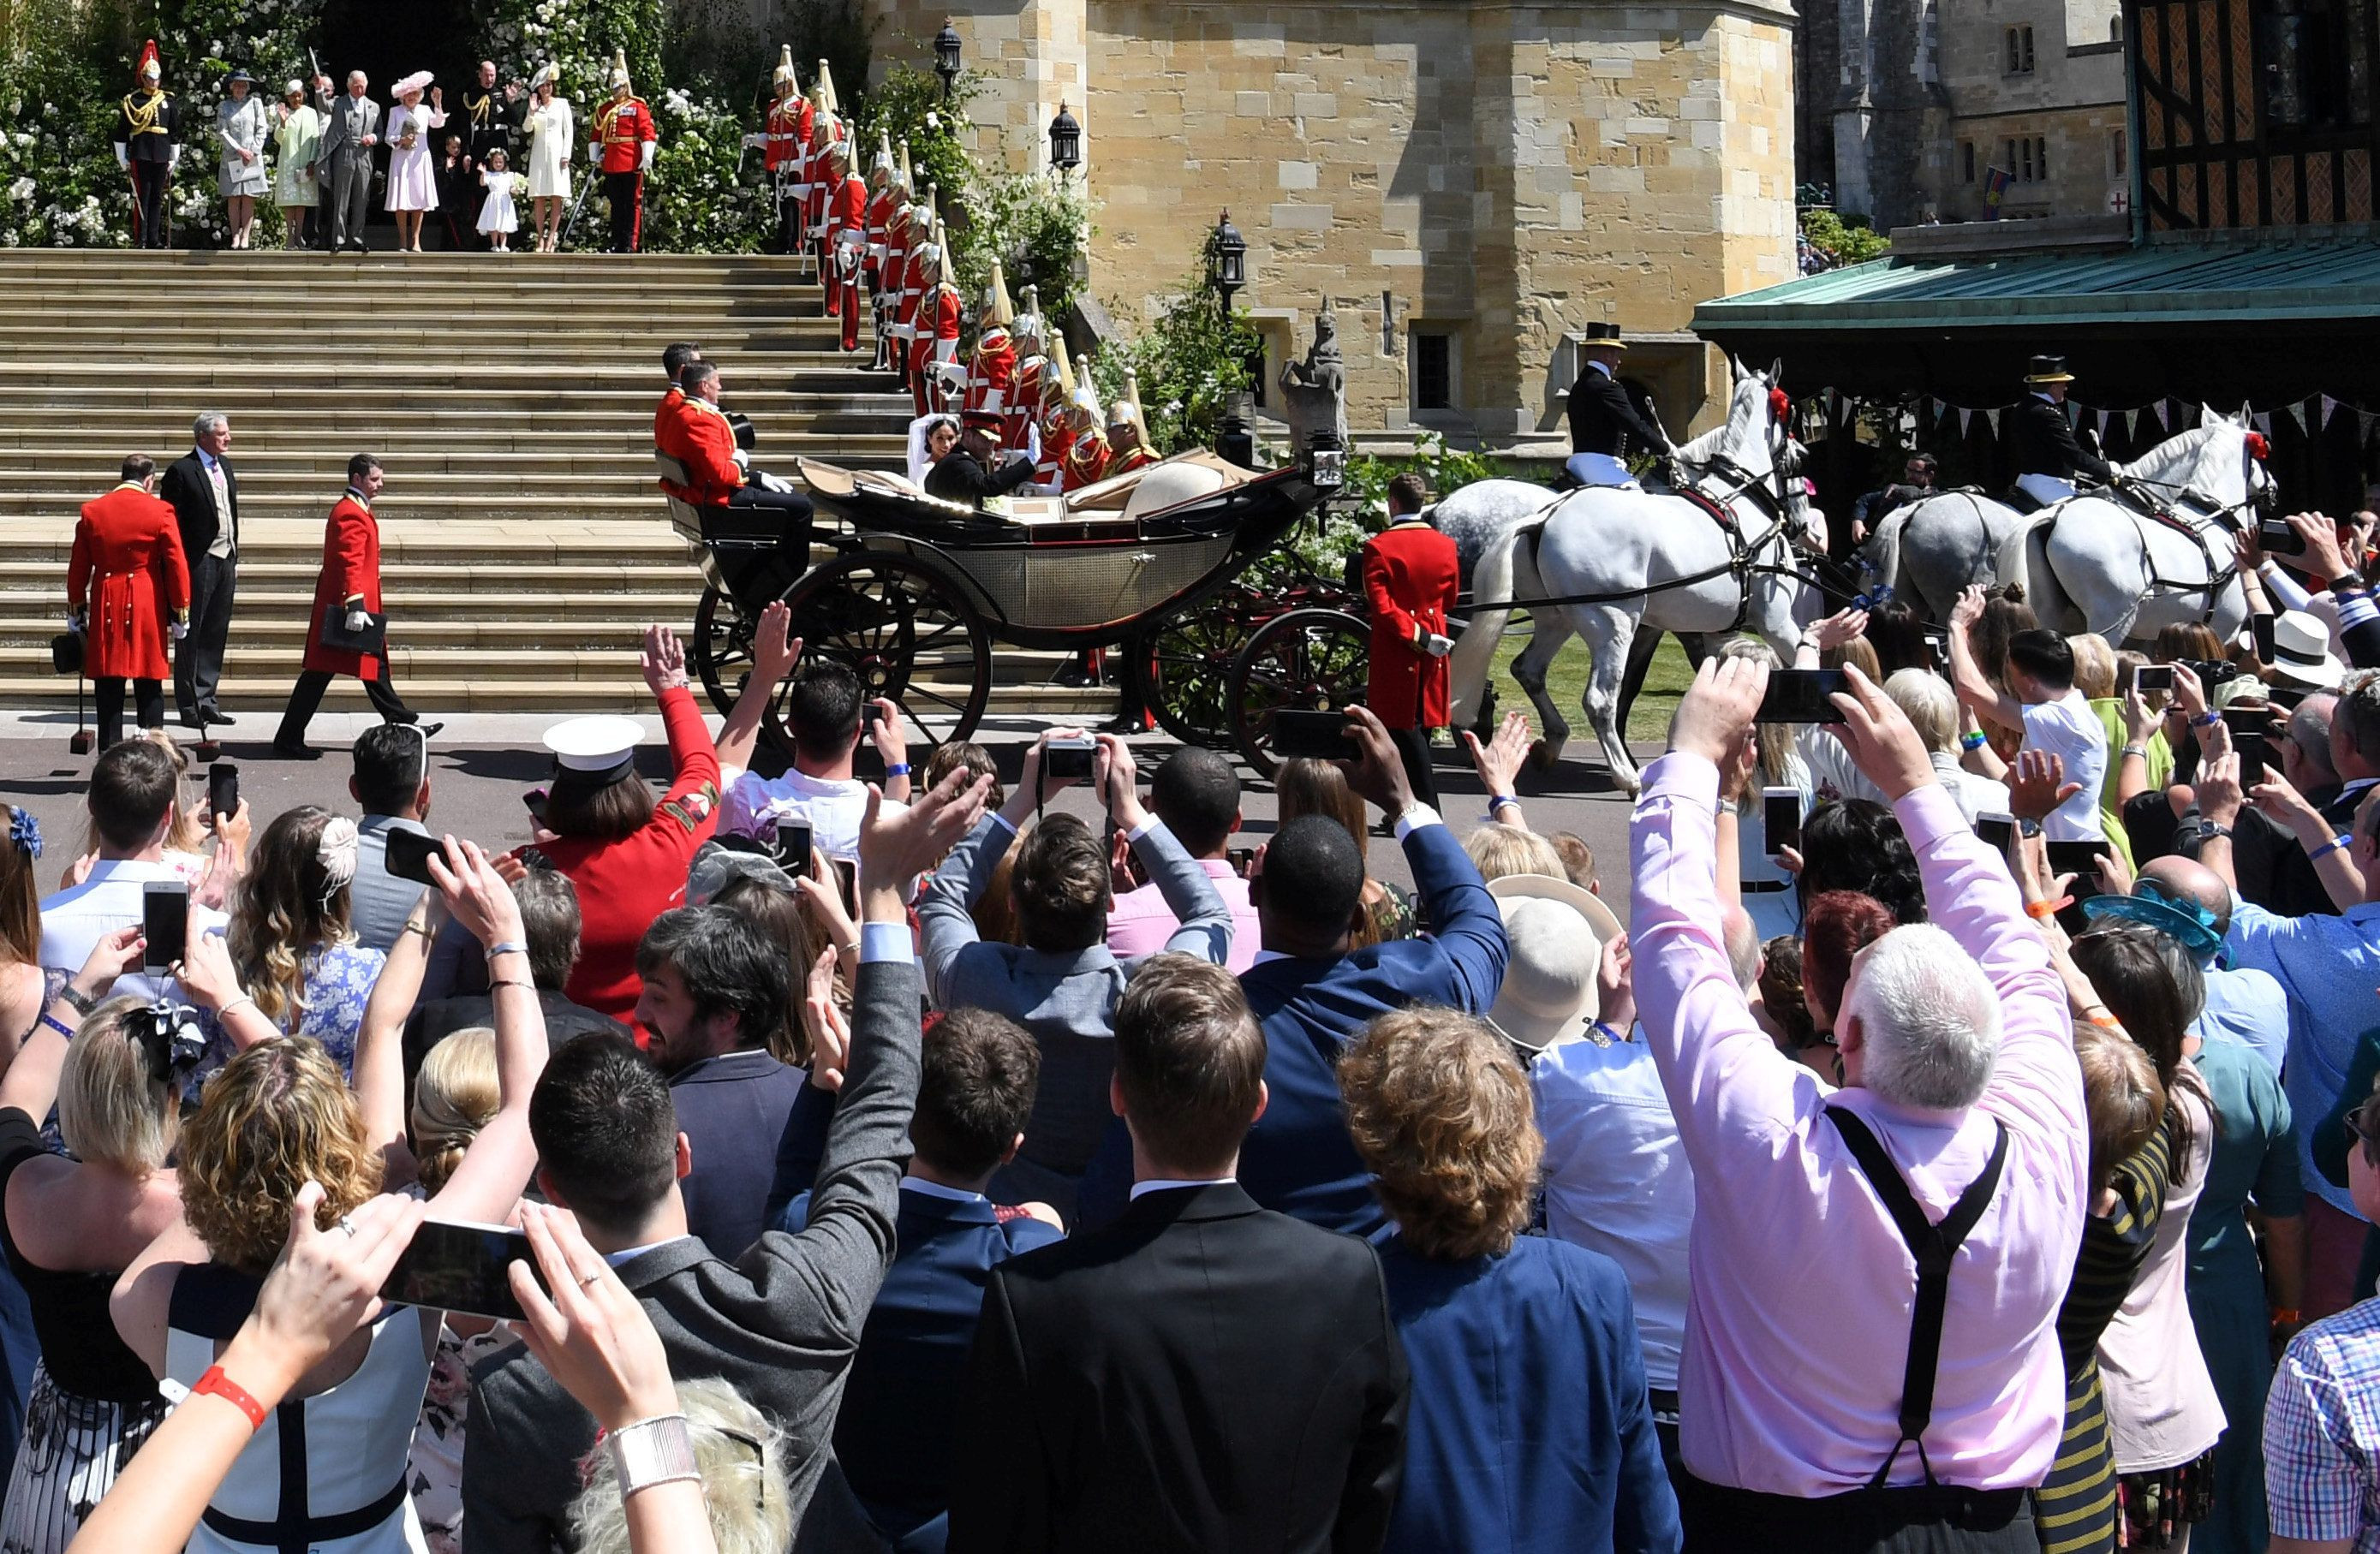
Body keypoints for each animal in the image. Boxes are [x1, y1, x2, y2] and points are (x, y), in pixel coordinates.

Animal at [1437, 359, 1809, 795]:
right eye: (1799, 455)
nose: (1803, 524)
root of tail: (1542, 519)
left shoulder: (1692, 629)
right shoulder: (1773, 621)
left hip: (1558, 619)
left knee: (1528, 670)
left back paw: (1550, 741)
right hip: (1612, 623)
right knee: (1598, 698)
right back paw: (1625, 776)